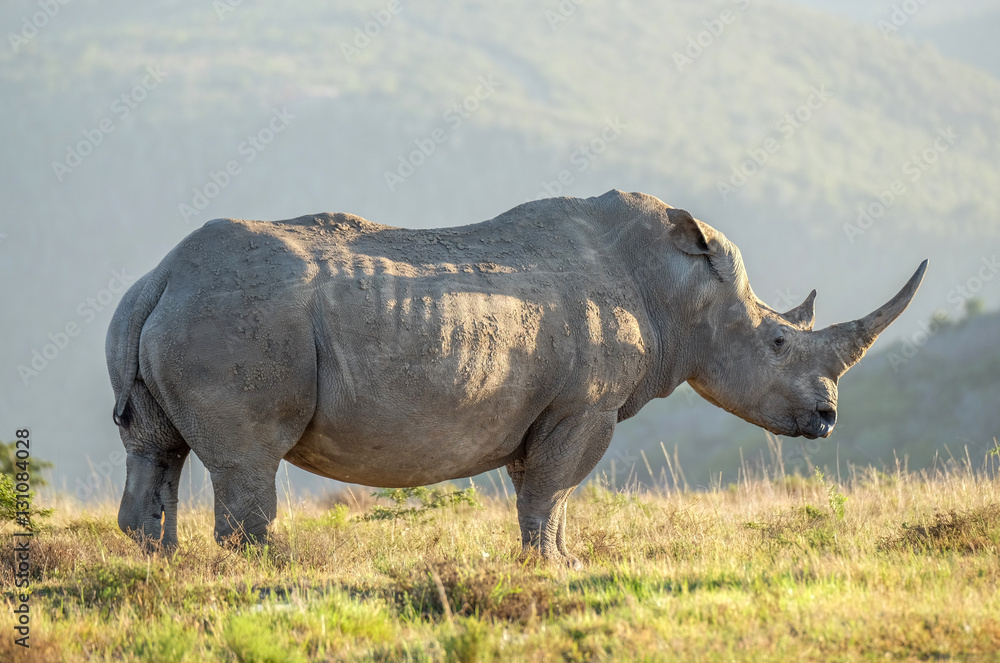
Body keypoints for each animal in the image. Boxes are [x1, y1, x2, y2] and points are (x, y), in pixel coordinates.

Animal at [107, 190, 926, 566]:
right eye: (780, 342)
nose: (828, 418)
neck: (678, 291)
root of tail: (161, 279)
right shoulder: (585, 406)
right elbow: (552, 487)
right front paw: (558, 566)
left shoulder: (547, 406)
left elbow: (544, 490)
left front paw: (557, 561)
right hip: (234, 316)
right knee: (249, 458)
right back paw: (271, 570)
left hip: (166, 310)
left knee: (155, 449)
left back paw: (161, 565)